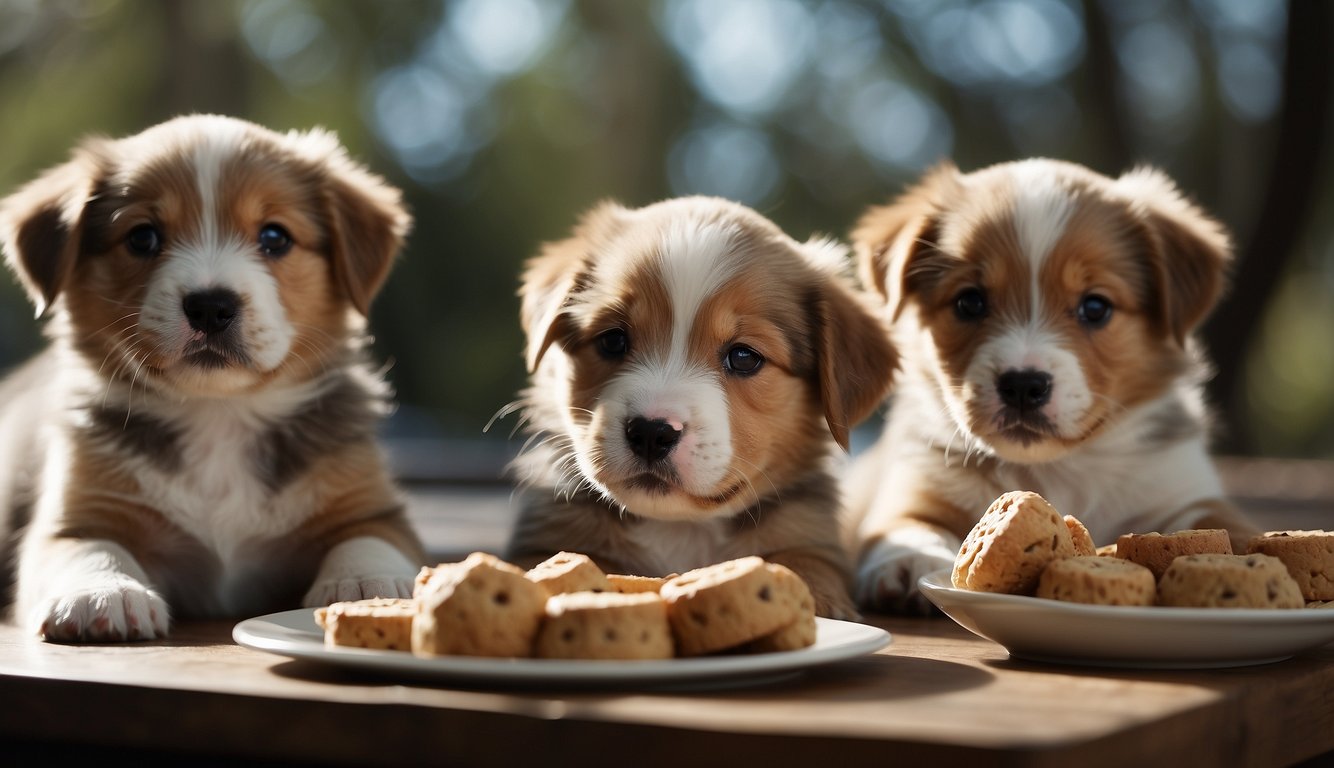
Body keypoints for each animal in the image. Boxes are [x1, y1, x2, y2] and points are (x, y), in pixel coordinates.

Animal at [0, 114, 426, 642]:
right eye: (142, 237)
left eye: (275, 237)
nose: (210, 307)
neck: (219, 414)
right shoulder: (73, 517)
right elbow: (89, 547)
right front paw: (104, 592)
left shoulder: (373, 508)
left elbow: (367, 539)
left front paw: (368, 585)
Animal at [504, 197, 901, 618]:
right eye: (612, 339)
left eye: (744, 357)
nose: (651, 432)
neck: (681, 527)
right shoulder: (543, 542)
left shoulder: (808, 540)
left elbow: (805, 568)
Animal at [843, 160, 1259, 613]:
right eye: (969, 302)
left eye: (1095, 306)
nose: (1024, 385)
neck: (1056, 469)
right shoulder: (917, 482)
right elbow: (908, 525)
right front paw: (909, 561)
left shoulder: (1182, 488)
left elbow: (1224, 523)